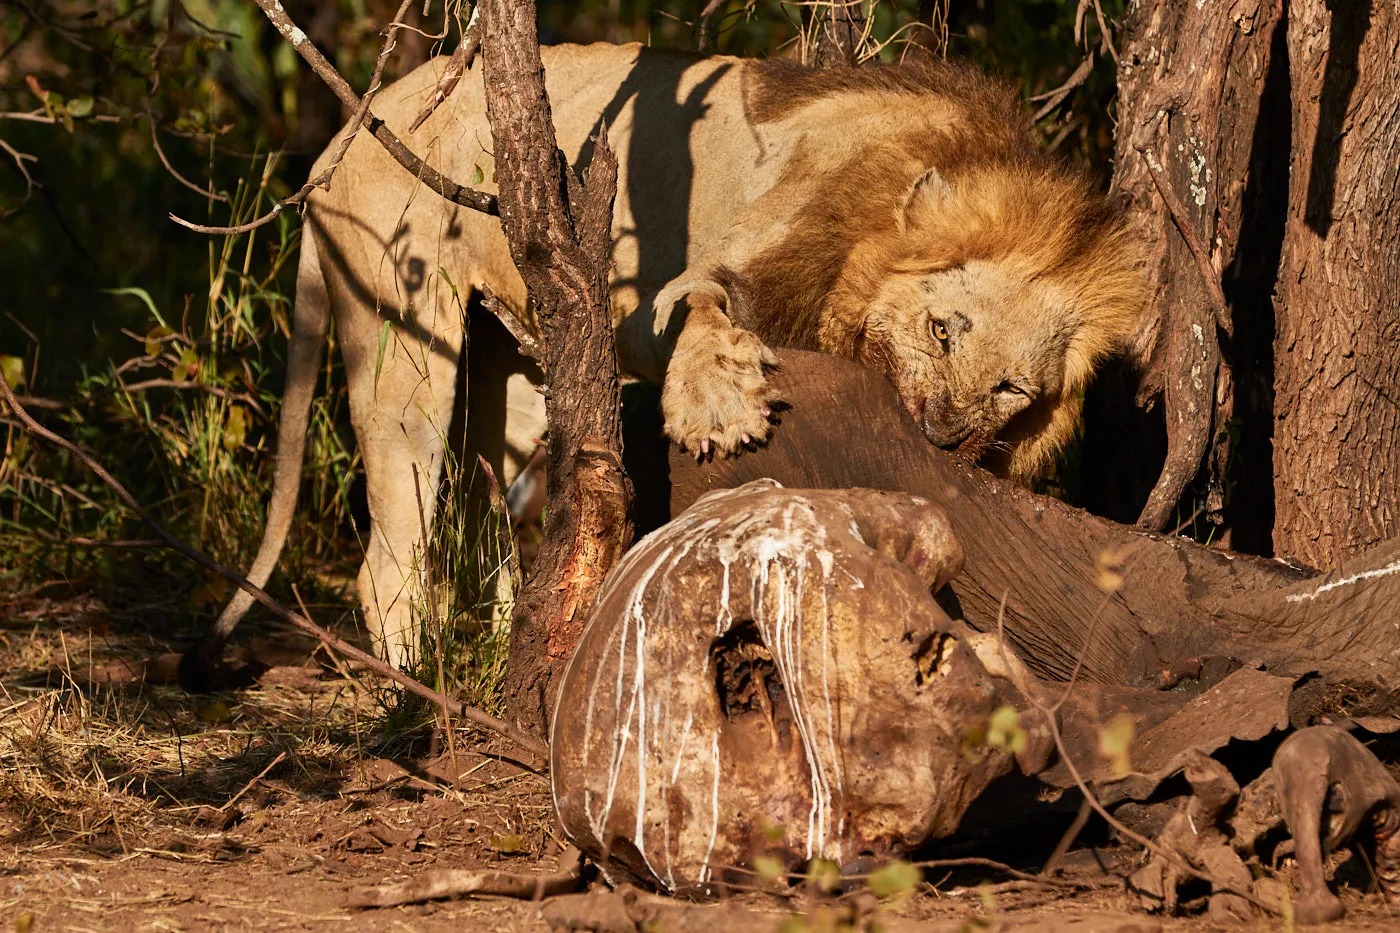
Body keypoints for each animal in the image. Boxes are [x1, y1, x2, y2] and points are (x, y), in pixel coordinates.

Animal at [186, 42, 1143, 679]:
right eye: (945, 330)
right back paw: (422, 697)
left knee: (499, 529)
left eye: (1012, 387)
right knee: (387, 557)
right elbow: (700, 306)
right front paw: (718, 406)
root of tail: (340, 138)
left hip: (511, 375)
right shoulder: (679, 284)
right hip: (403, 347)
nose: (943, 436)